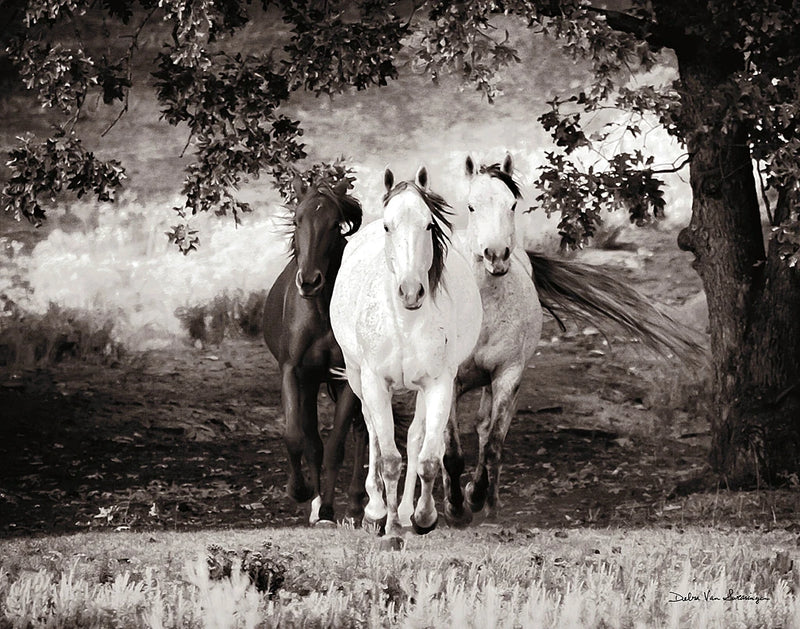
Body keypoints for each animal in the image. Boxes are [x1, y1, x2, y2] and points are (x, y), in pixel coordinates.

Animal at [263, 176, 368, 526]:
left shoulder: (347, 377)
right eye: (297, 220)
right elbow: (298, 437)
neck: (322, 311)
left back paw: (357, 504)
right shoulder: (294, 372)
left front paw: (328, 509)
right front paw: (301, 492)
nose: (309, 281)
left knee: (363, 431)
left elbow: (336, 445)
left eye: (336, 224)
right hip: (311, 384)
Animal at [330, 166, 482, 537]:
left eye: (428, 225)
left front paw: (422, 517)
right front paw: (387, 524)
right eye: (388, 226)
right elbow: (388, 457)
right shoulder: (374, 381)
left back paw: (403, 510)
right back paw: (375, 509)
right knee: (371, 429)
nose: (411, 291)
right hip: (356, 377)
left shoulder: (439, 383)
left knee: (415, 438)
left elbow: (427, 457)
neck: (405, 322)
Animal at [441, 154, 703, 525]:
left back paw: (488, 499)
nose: (496, 255)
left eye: (512, 205)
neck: (484, 311)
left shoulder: (507, 375)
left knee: (486, 431)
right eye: (471, 206)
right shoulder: (448, 381)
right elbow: (449, 451)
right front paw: (454, 508)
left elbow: (492, 443)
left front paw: (476, 498)